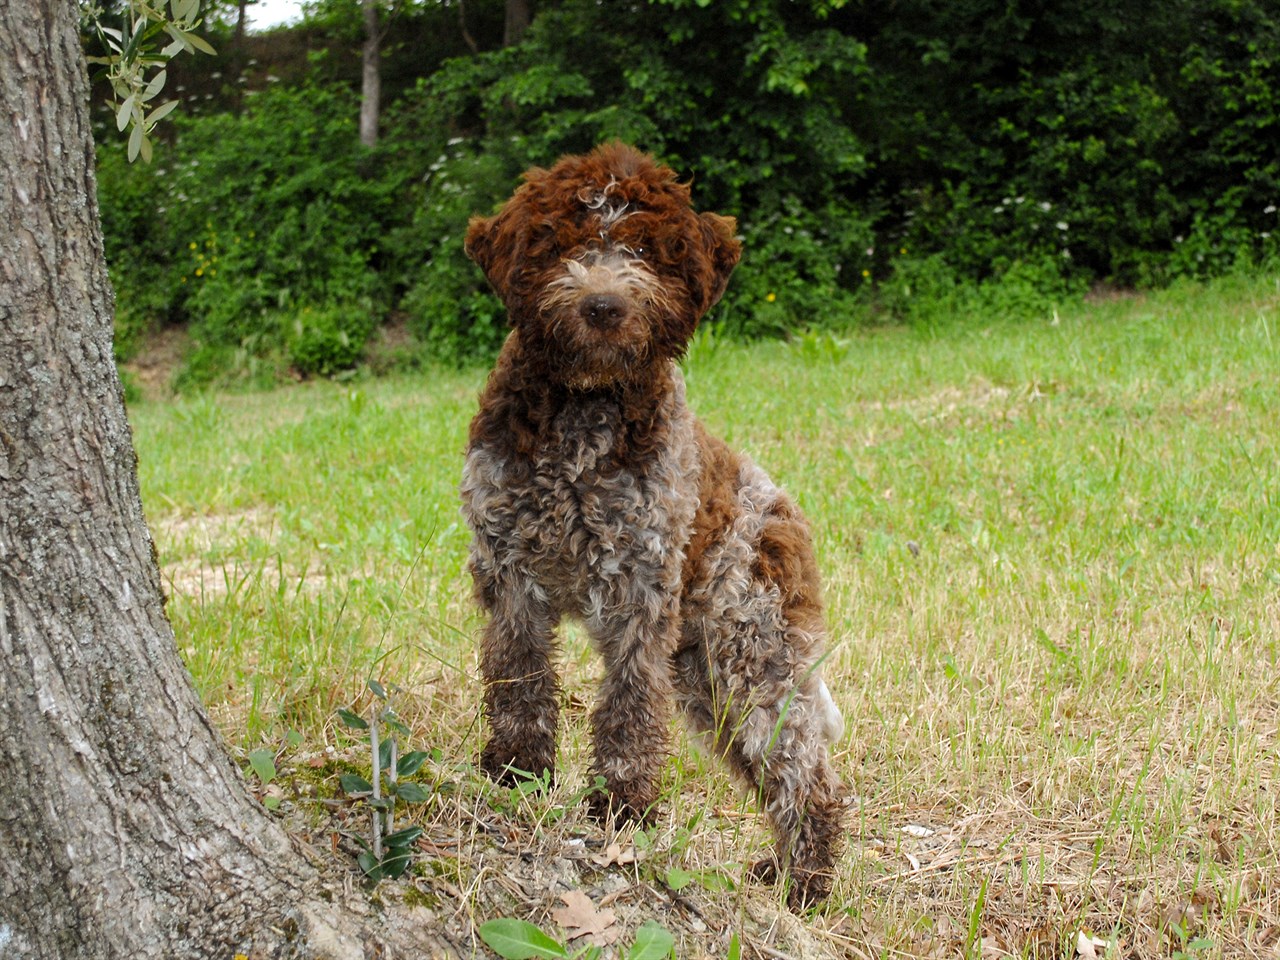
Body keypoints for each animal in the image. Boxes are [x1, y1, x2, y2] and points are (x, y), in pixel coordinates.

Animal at [460, 142, 849, 911]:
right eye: (565, 246)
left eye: (642, 249)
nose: (603, 306)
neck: (583, 412)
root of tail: (786, 511)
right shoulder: (512, 572)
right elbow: (519, 680)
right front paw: (517, 774)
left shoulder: (639, 589)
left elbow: (630, 706)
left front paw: (621, 808)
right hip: (705, 674)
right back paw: (785, 873)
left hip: (751, 653)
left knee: (807, 772)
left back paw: (806, 886)